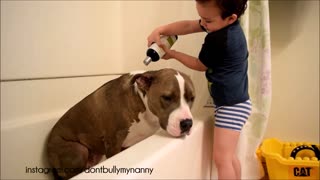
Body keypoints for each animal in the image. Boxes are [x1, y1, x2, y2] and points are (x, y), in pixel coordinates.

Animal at [45, 68, 195, 179]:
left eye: (192, 98)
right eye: (167, 97)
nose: (187, 123)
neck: (142, 103)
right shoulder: (113, 144)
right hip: (78, 150)